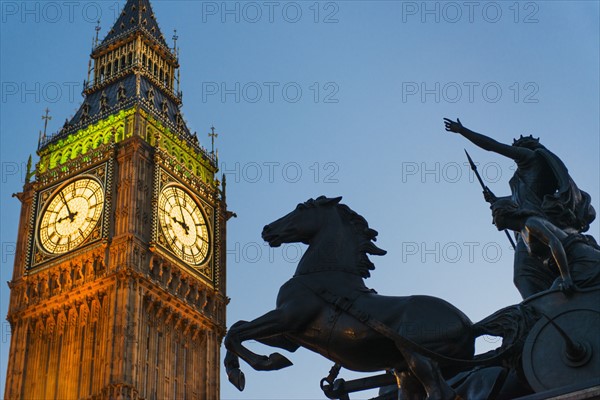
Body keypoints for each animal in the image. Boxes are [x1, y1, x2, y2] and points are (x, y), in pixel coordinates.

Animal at [225, 198, 506, 400]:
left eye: (301, 208)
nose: (267, 230)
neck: (323, 275)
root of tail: (470, 325)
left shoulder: (287, 317)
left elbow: (234, 333)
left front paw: (260, 365)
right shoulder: (290, 336)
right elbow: (237, 327)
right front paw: (245, 367)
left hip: (420, 357)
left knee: (442, 394)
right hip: (404, 370)